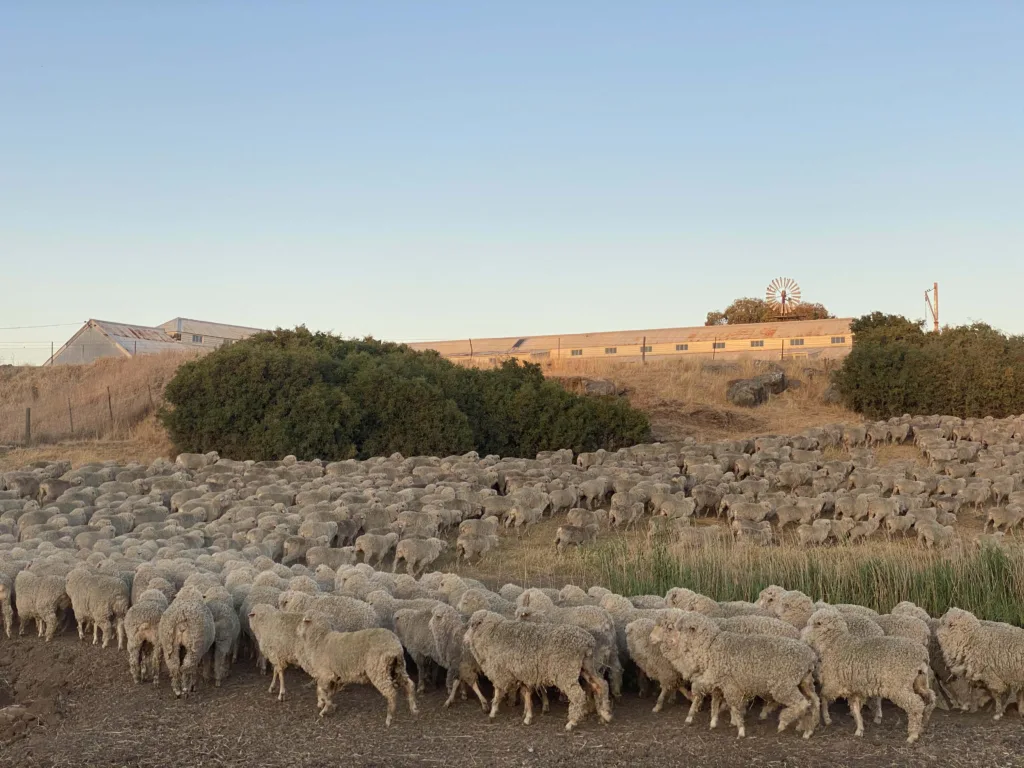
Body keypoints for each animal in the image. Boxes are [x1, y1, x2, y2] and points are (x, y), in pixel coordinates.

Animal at [464, 610, 613, 731]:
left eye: (471, 625)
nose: (464, 639)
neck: (493, 634)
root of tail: (587, 642)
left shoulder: (500, 672)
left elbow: (498, 693)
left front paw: (492, 713)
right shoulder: (524, 673)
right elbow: (526, 694)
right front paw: (527, 716)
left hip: (566, 671)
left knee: (578, 695)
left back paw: (572, 722)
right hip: (587, 666)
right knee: (601, 685)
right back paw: (605, 714)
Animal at [650, 610, 818, 739]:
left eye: (670, 627)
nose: (651, 638)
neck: (710, 646)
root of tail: (809, 656)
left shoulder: (729, 684)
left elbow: (731, 703)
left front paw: (740, 728)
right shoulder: (716, 681)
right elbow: (713, 698)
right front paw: (713, 720)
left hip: (783, 686)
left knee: (802, 703)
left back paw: (783, 722)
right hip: (805, 682)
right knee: (814, 701)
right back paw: (808, 729)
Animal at [801, 608, 935, 743]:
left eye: (812, 624)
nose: (802, 637)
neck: (835, 644)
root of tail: (922, 655)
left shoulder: (834, 683)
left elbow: (822, 696)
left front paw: (826, 718)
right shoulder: (854, 688)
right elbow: (855, 708)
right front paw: (859, 729)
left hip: (899, 686)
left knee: (916, 704)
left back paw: (913, 734)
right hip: (919, 681)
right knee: (931, 697)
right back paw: (924, 723)